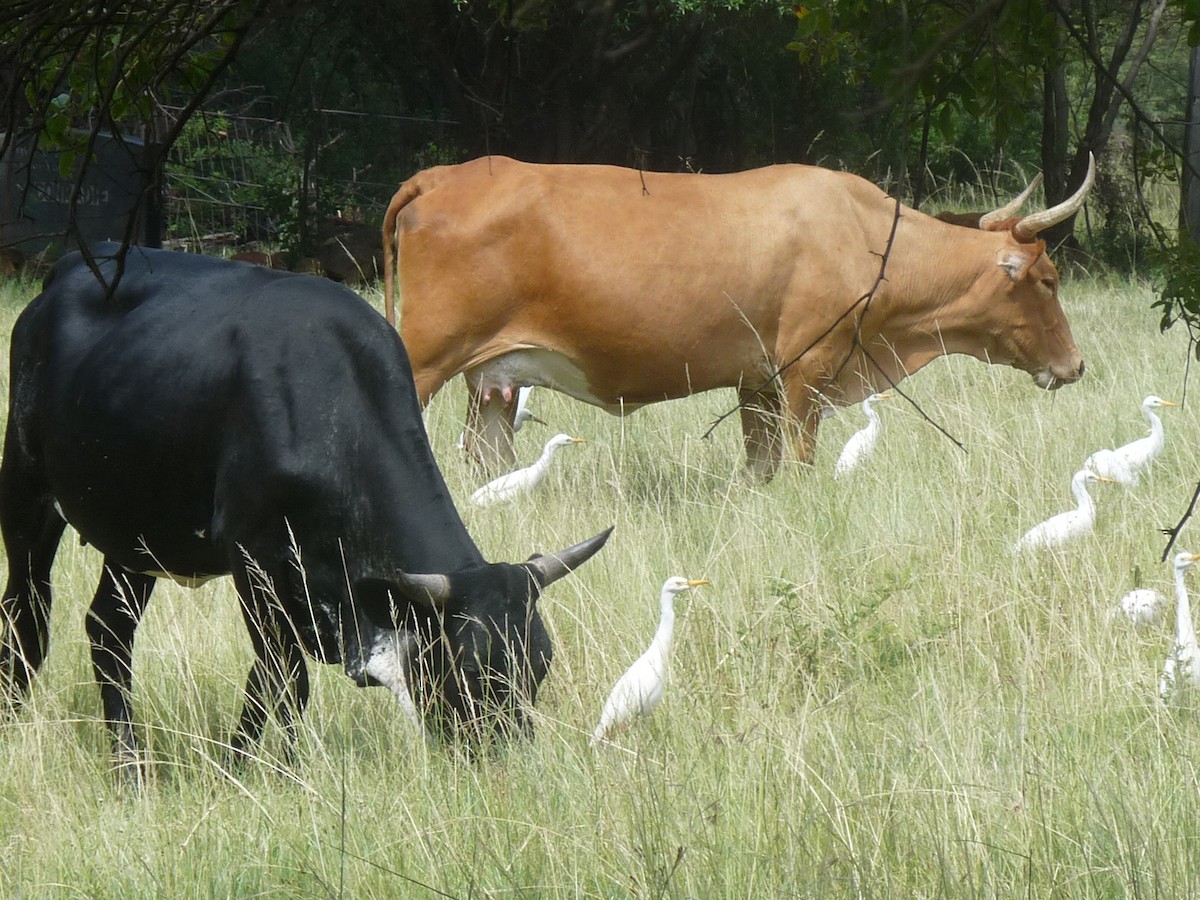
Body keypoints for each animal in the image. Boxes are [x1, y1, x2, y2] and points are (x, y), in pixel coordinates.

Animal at [0, 243, 614, 772]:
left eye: (541, 661)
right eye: (467, 666)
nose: (506, 760)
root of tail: (73, 267)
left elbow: (275, 684)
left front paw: (261, 764)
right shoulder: (253, 560)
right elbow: (283, 679)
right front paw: (252, 770)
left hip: (137, 530)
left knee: (109, 630)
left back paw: (129, 767)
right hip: (28, 492)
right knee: (26, 617)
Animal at [381, 153, 1089, 487]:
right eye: (1047, 280)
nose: (1077, 365)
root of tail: (447, 174)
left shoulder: (759, 384)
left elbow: (760, 465)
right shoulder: (807, 373)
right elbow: (798, 462)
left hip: (491, 382)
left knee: (486, 459)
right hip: (423, 359)